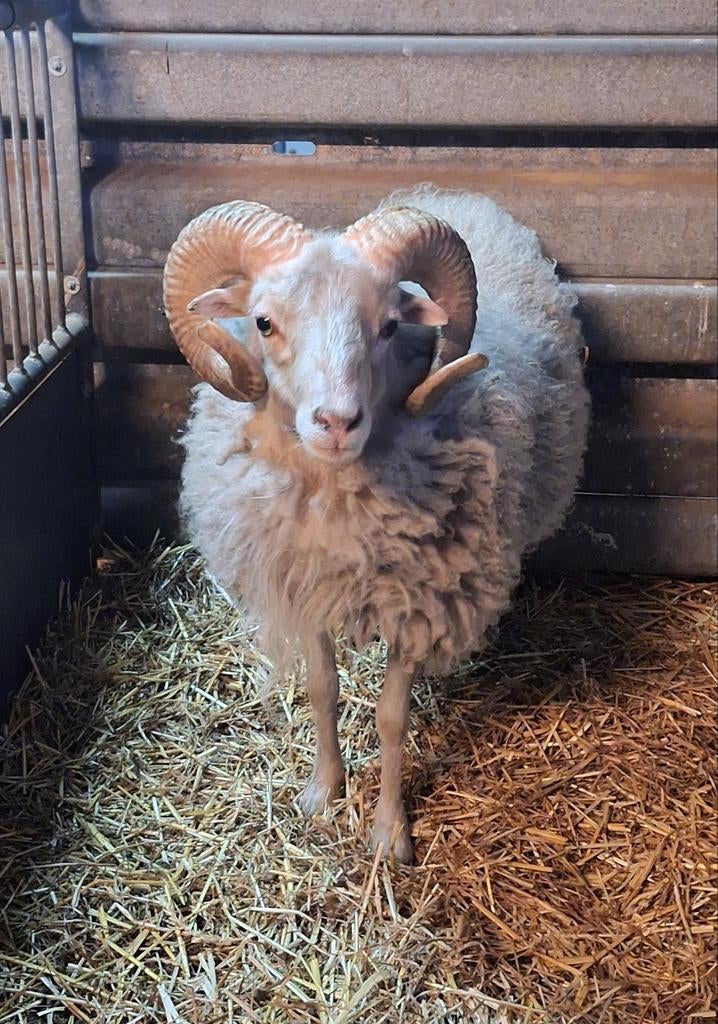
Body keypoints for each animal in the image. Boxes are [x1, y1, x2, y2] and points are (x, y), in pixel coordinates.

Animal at [163, 187, 590, 863]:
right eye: (263, 322)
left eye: (389, 326)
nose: (337, 423)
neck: (336, 499)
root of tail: (457, 195)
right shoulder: (307, 585)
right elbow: (322, 689)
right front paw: (323, 792)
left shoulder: (423, 602)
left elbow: (392, 718)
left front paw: (390, 832)